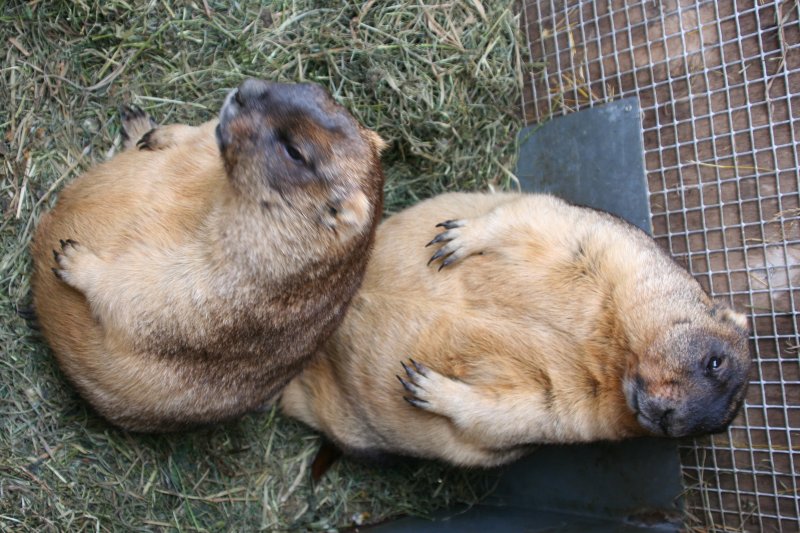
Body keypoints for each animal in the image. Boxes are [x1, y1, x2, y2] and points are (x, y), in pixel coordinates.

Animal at [30, 79, 386, 432]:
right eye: (315, 89)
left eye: (295, 152)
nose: (244, 89)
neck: (225, 186)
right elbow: (198, 134)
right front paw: (160, 135)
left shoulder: (244, 272)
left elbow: (158, 295)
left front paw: (73, 258)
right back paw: (139, 126)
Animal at [280, 192, 751, 467]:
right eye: (715, 362)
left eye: (710, 430)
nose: (668, 419)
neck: (610, 353)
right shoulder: (612, 248)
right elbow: (531, 217)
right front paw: (455, 240)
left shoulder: (576, 414)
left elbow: (520, 412)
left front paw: (425, 385)